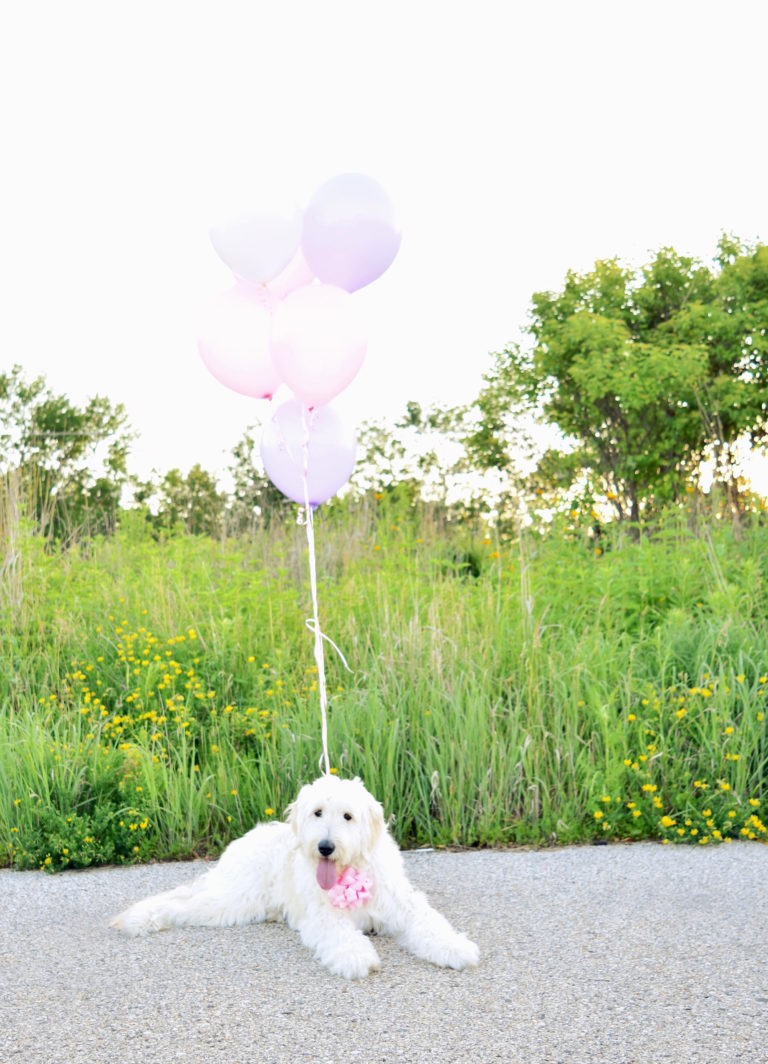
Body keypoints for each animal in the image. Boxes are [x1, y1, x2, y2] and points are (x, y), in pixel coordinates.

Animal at [110, 774, 476, 978]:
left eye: (348, 816)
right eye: (317, 813)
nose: (325, 847)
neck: (350, 872)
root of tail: (241, 841)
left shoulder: (402, 904)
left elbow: (431, 924)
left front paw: (455, 947)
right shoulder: (323, 916)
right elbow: (340, 936)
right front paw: (356, 957)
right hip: (231, 901)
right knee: (181, 903)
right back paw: (140, 918)